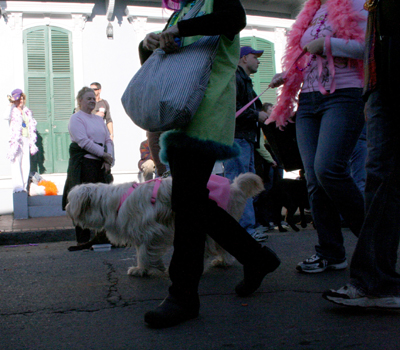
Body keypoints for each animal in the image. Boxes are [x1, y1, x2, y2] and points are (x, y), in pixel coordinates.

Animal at [66, 172, 262, 276]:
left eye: (70, 201)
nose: (66, 209)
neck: (112, 202)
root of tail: (234, 187)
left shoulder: (152, 231)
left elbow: (144, 252)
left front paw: (141, 269)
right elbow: (142, 250)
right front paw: (148, 267)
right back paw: (222, 261)